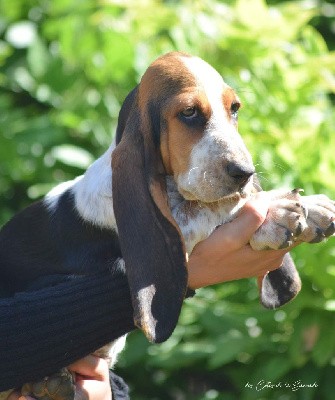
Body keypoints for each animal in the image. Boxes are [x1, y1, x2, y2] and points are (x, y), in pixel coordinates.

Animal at [0, 51, 335, 398]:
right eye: (188, 112)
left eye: (235, 108)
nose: (245, 172)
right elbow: (214, 212)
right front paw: (277, 213)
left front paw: (312, 208)